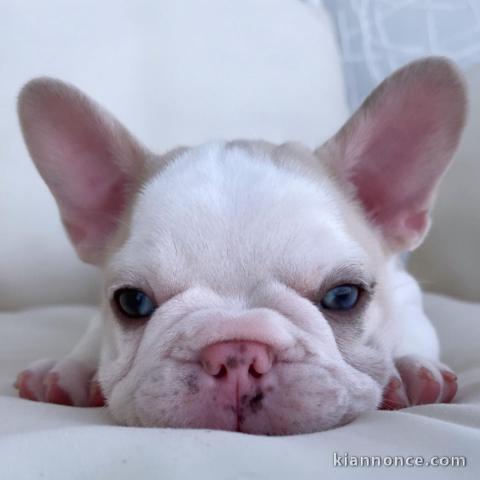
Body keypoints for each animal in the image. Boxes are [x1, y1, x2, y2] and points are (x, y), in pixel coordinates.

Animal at [14, 57, 464, 436]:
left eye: (343, 296)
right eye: (132, 302)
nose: (236, 354)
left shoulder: (404, 290)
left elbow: (410, 327)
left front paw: (406, 369)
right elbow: (94, 334)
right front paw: (70, 369)